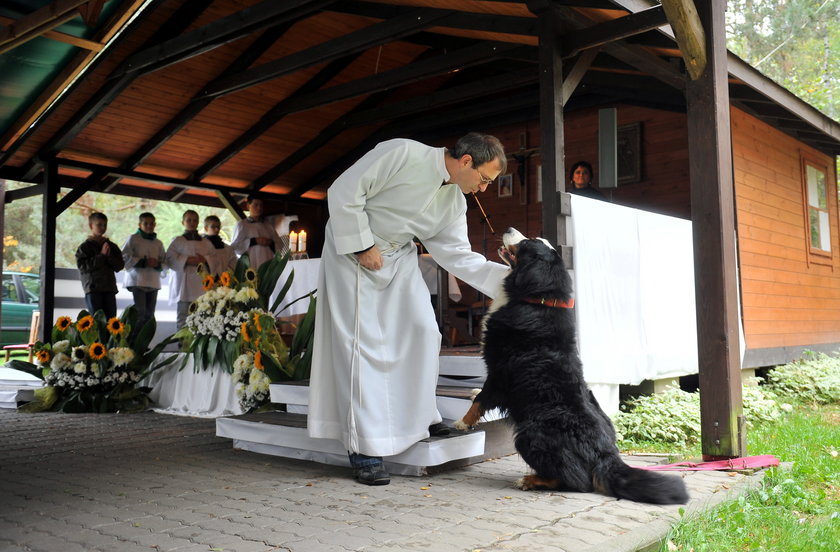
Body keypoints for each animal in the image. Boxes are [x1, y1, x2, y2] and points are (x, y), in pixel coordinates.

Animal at [456, 227, 684, 504]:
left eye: (527, 243)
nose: (509, 229)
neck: (537, 301)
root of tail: (605, 453)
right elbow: (481, 394)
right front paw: (472, 393)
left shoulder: (500, 371)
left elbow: (483, 399)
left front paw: (462, 422)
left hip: (529, 434)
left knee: (576, 480)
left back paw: (530, 480)